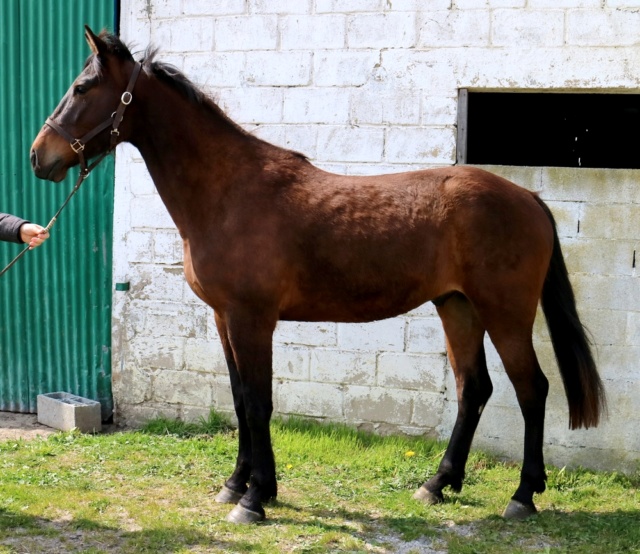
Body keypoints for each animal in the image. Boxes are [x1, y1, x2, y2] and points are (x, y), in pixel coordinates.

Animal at [32, 28, 604, 520]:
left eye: (82, 87)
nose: (40, 156)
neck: (228, 192)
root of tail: (529, 197)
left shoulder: (252, 320)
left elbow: (258, 403)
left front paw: (255, 499)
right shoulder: (224, 320)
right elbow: (239, 400)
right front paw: (238, 485)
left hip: (505, 315)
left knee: (532, 390)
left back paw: (523, 495)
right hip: (457, 307)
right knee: (473, 389)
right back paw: (437, 484)